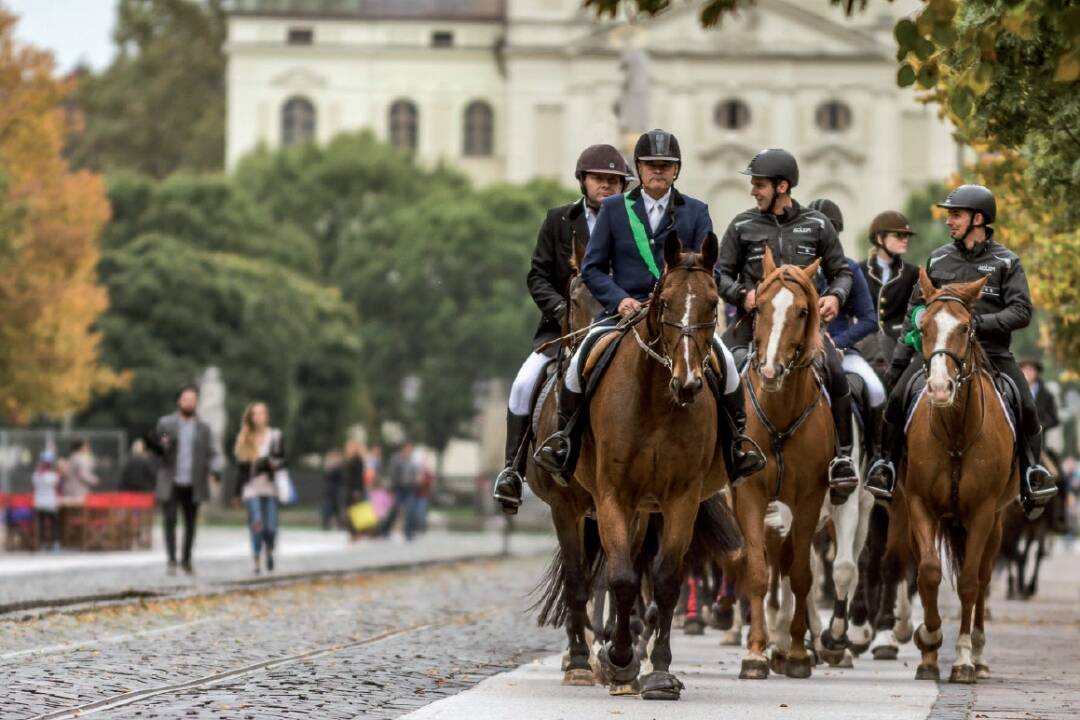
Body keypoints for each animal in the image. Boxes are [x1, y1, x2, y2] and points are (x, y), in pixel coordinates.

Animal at [574, 231, 743, 699]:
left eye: (712, 304)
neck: (656, 401)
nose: (687, 383)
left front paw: (661, 671)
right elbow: (621, 577)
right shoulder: (613, 495)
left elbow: (666, 578)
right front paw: (619, 659)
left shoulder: (681, 498)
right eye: (664, 302)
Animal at [907, 268, 1015, 682]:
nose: (939, 388)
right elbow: (928, 572)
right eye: (923, 326)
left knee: (982, 578)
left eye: (966, 327)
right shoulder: (920, 505)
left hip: (995, 522)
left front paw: (964, 659)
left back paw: (980, 658)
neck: (955, 432)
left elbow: (969, 583)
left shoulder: (982, 512)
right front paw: (929, 640)